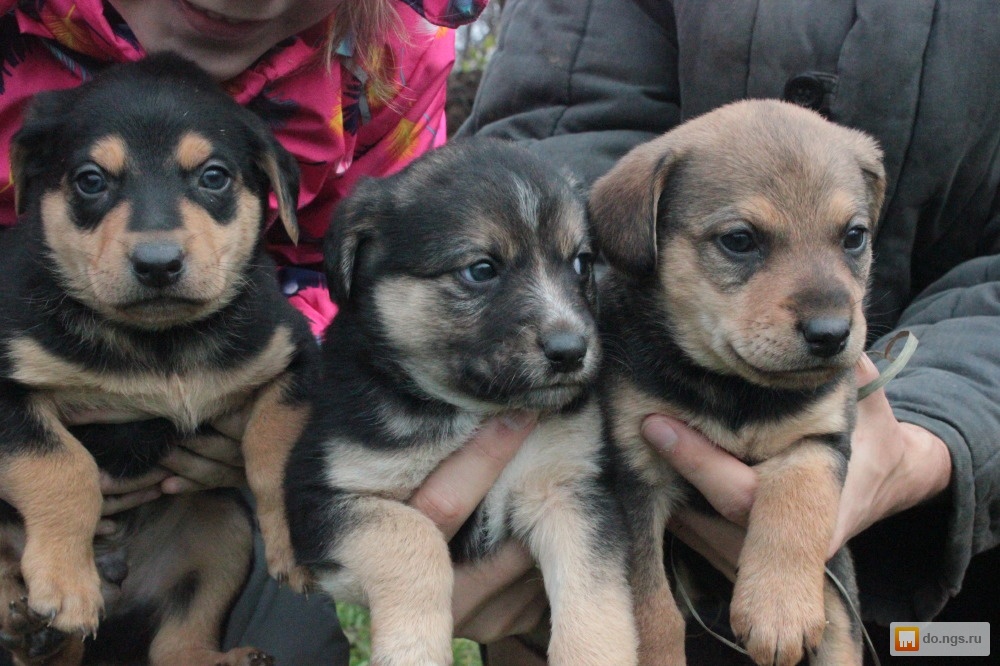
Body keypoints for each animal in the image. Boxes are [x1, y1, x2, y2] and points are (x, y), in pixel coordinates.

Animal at [0, 54, 316, 660]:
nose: (157, 263)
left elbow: (275, 444)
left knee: (177, 645)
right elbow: (61, 465)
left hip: (222, 527)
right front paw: (66, 587)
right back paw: (28, 616)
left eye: (214, 176)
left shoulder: (295, 358)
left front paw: (295, 548)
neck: (159, 343)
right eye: (90, 180)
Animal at [286, 140, 636, 664]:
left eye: (581, 263)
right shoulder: (320, 499)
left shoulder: (569, 486)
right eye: (481, 270)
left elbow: (595, 599)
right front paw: (413, 652)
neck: (472, 410)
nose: (571, 351)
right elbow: (413, 537)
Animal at [588, 100, 888, 664]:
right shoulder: (635, 476)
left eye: (854, 236)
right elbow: (651, 602)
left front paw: (778, 609)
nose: (832, 334)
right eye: (740, 240)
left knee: (841, 631)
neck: (737, 392)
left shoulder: (820, 438)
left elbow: (796, 503)